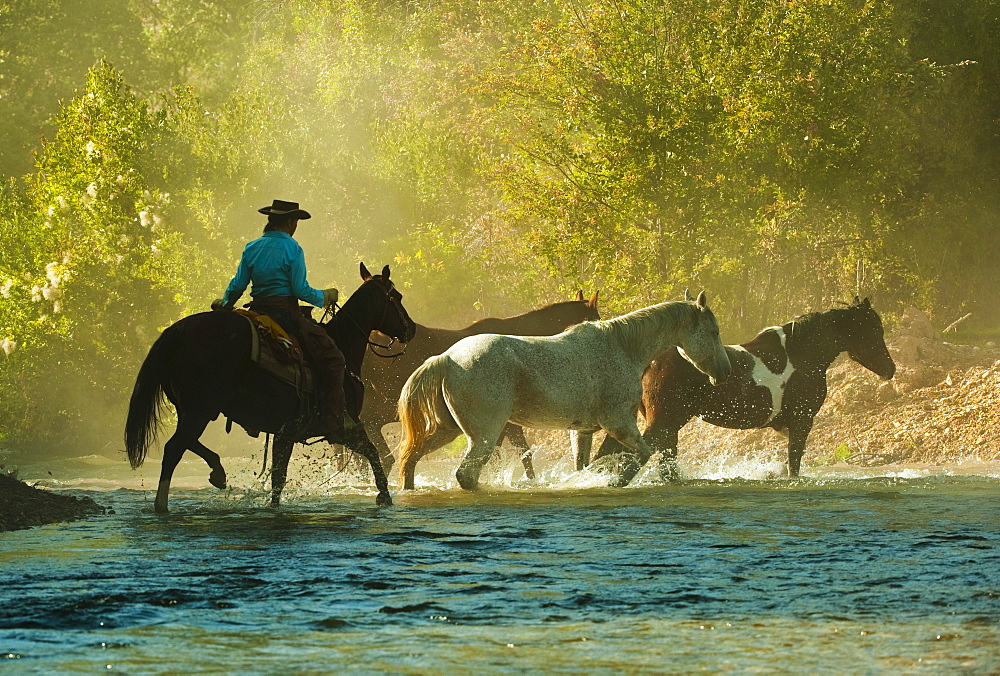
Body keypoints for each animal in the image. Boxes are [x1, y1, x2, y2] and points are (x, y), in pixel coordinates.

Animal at [124, 262, 414, 510]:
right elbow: (374, 453)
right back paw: (163, 504)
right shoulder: (344, 427)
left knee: (184, 443)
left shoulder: (285, 432)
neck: (342, 343)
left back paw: (217, 473)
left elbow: (278, 478)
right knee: (175, 448)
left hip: (193, 409)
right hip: (200, 410)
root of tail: (180, 329)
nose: (410, 329)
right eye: (397, 296)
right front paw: (384, 496)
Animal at [398, 288, 736, 488]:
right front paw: (616, 481)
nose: (725, 372)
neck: (622, 347)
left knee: (410, 459)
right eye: (714, 331)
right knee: (465, 474)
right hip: (484, 435)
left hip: (448, 430)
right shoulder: (619, 423)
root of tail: (447, 358)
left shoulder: (582, 431)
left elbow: (583, 465)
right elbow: (642, 453)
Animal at [588, 296, 896, 486]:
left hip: (663, 425)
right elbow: (794, 465)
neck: (801, 355)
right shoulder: (801, 422)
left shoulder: (785, 425)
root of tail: (650, 360)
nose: (890, 369)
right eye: (874, 330)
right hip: (665, 421)